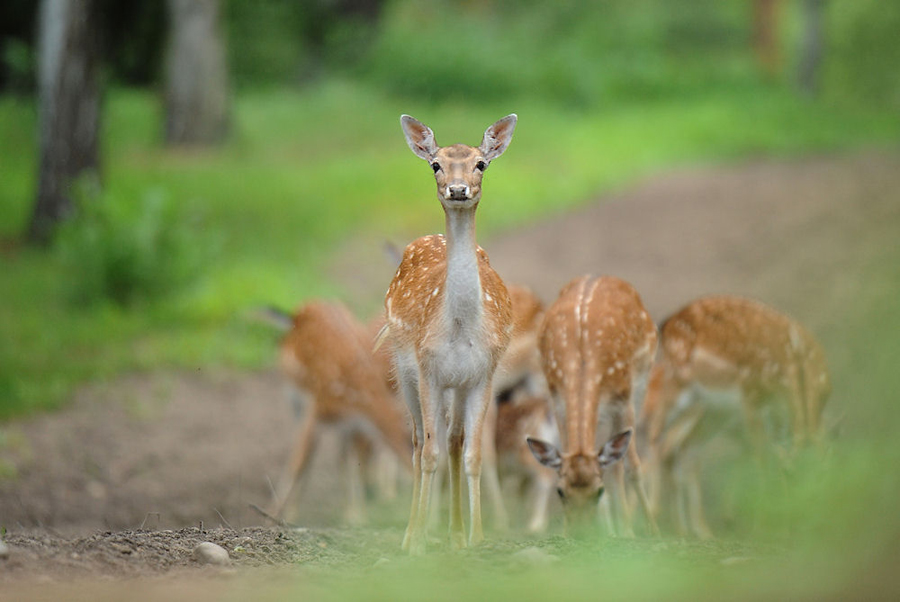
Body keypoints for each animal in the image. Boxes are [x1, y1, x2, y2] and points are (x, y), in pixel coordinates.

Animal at [268, 300, 414, 520]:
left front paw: (355, 516)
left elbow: (347, 460)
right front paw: (275, 516)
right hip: (293, 396)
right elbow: (300, 462)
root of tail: (298, 312)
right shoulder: (316, 408)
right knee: (299, 451)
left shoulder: (349, 425)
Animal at [380, 113, 516, 552]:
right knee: (418, 443)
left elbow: (472, 453)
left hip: (456, 384)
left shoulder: (482, 373)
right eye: (435, 164)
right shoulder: (428, 370)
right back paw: (413, 532)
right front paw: (417, 541)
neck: (458, 329)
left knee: (453, 439)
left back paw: (455, 533)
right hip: (403, 369)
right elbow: (429, 453)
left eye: (481, 163)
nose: (458, 189)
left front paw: (476, 538)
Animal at [524, 276, 656, 536]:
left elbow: (632, 467)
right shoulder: (557, 400)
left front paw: (640, 529)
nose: (580, 533)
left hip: (641, 383)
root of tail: (597, 276)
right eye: (561, 492)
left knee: (620, 463)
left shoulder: (623, 400)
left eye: (598, 491)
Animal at [640, 292, 828, 536]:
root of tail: (666, 323)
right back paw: (656, 517)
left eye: (824, 476)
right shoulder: (751, 399)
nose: (812, 524)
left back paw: (688, 529)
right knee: (655, 432)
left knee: (681, 447)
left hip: (708, 408)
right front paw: (762, 527)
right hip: (680, 383)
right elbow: (762, 460)